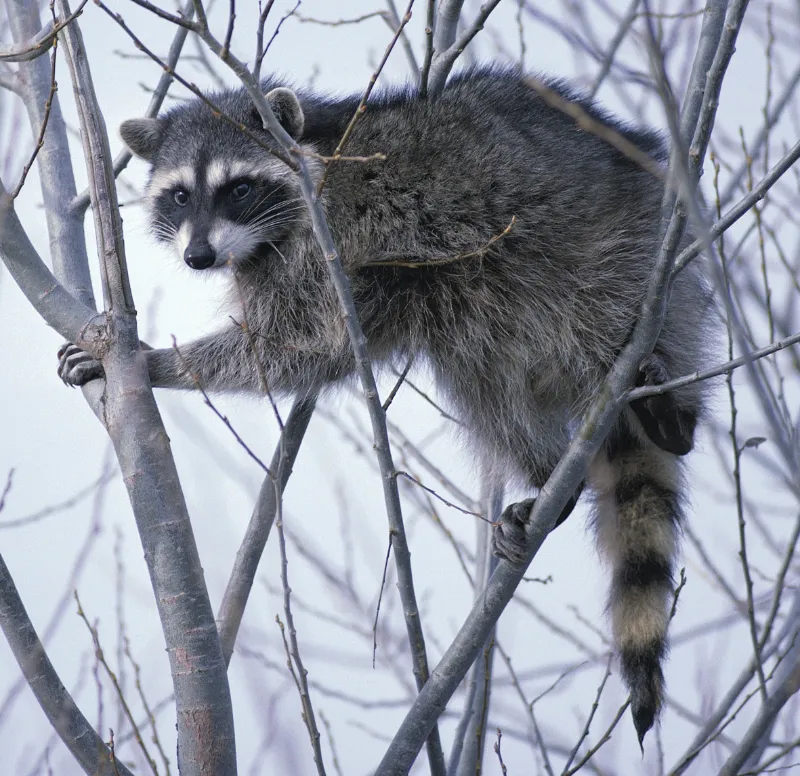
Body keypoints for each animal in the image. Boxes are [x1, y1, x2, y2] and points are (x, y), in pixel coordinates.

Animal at [59, 68, 716, 744]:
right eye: (180, 196)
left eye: (238, 188)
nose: (198, 257)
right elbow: (307, 353)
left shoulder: (332, 244)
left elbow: (296, 343)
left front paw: (155, 361)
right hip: (480, 308)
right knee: (482, 379)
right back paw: (549, 473)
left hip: (620, 252)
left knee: (602, 318)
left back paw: (670, 411)